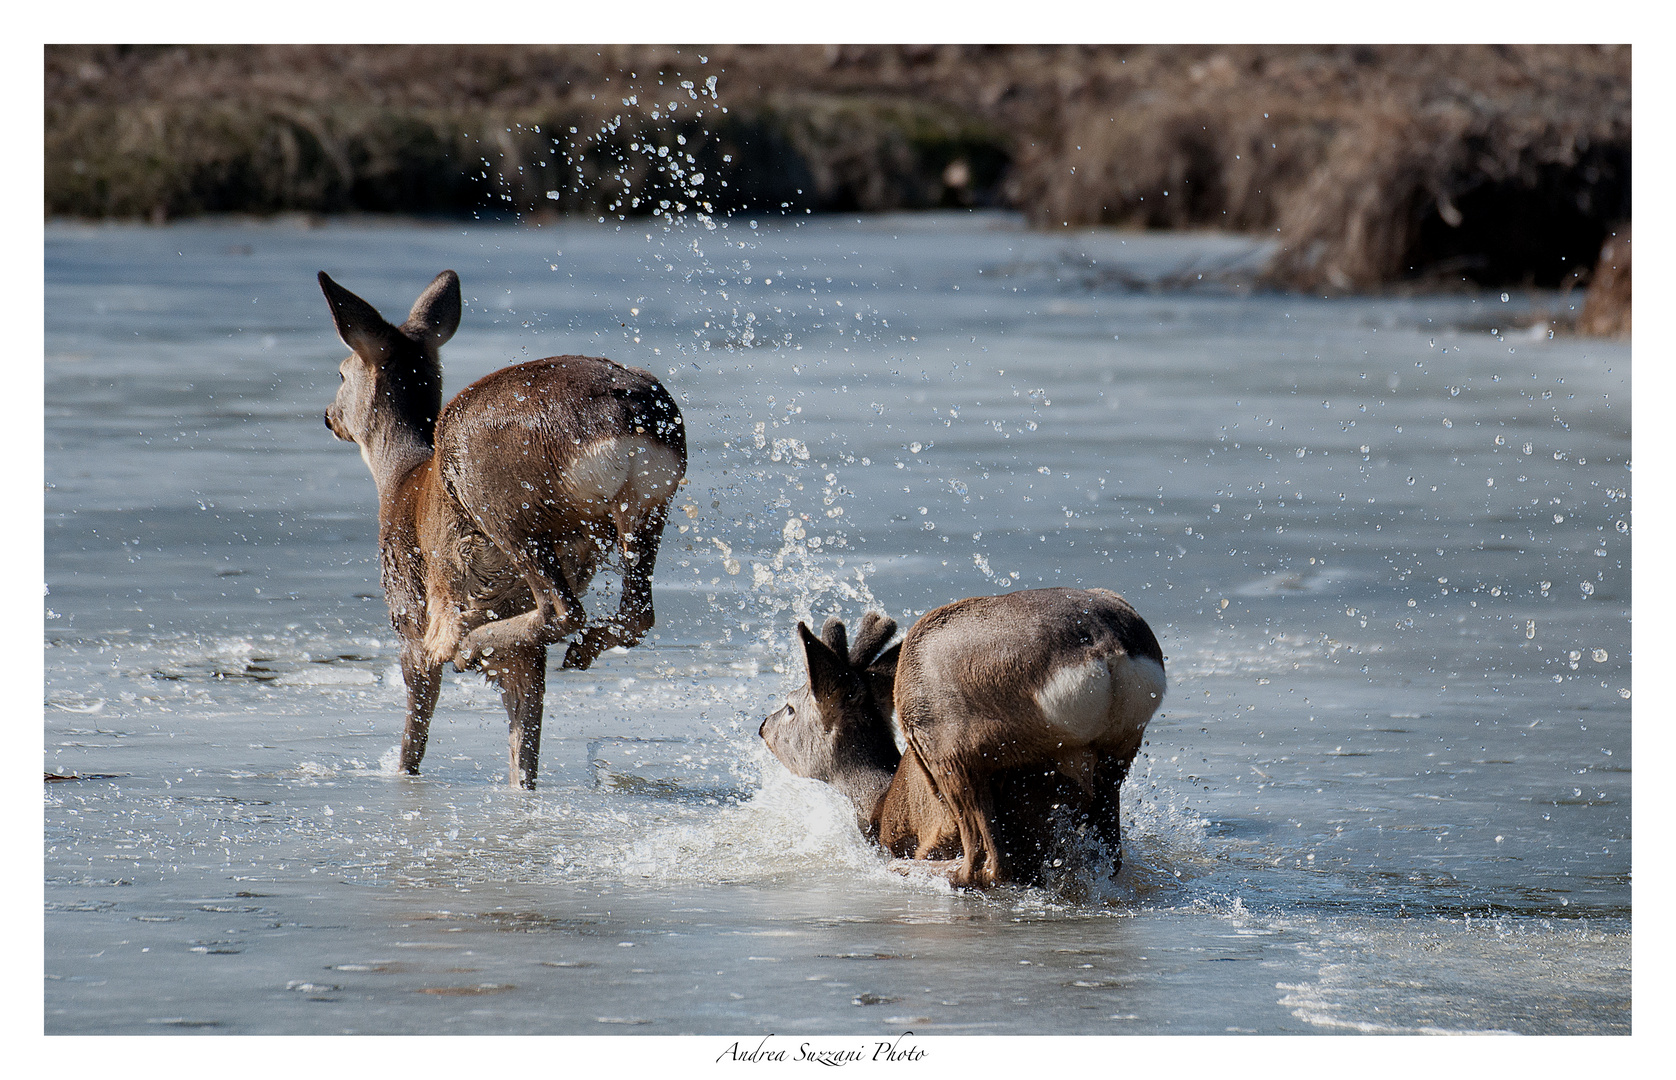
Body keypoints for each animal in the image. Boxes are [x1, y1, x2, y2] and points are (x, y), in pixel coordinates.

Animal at [320, 268, 687, 791]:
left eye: (340, 373)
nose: (328, 416)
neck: (399, 477)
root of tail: (631, 417)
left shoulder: (406, 607)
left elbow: (416, 731)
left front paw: (402, 774)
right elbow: (524, 750)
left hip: (499, 498)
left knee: (561, 608)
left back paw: (468, 647)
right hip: (649, 503)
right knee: (635, 610)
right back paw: (573, 652)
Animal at [764, 590, 1166, 885]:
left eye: (790, 707)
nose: (763, 726)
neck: (879, 804)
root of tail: (1107, 647)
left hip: (953, 745)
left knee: (986, 863)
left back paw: (918, 871)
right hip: (1117, 753)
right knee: (1110, 853)